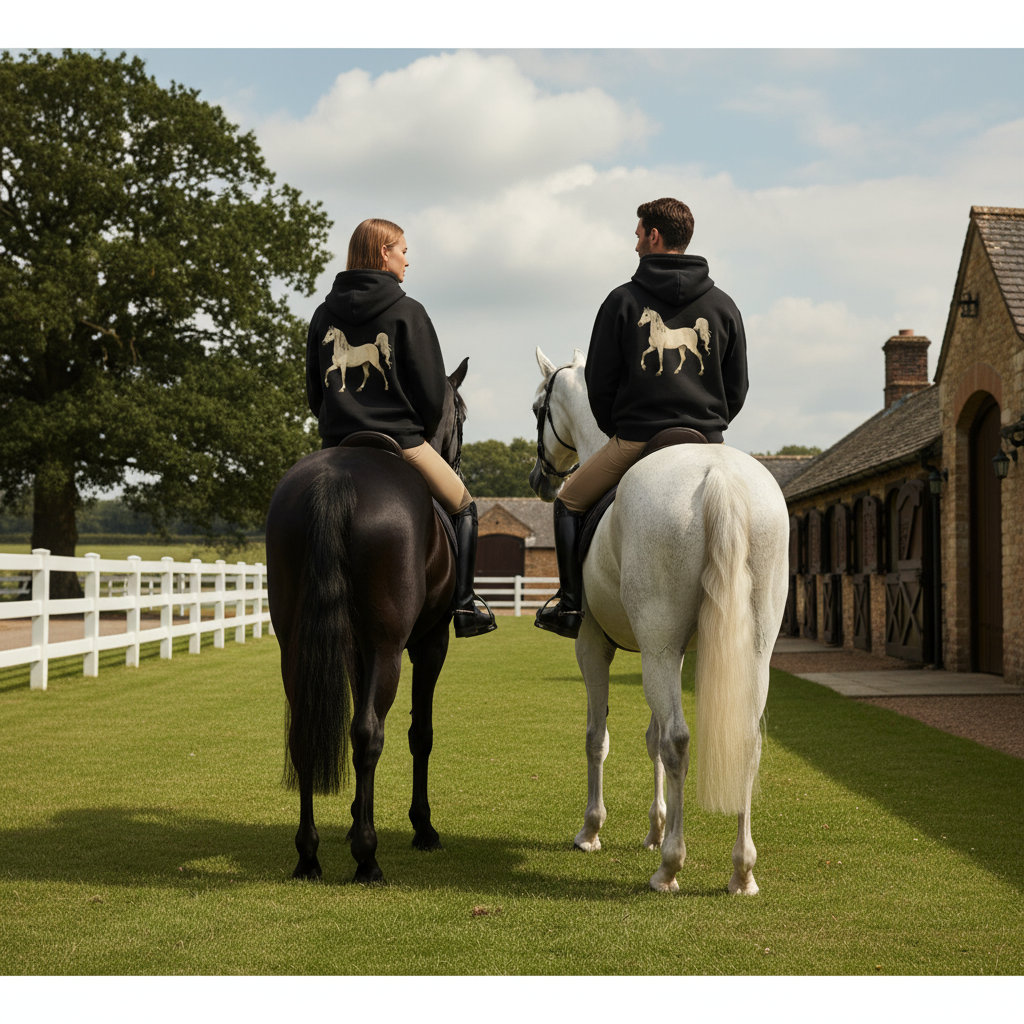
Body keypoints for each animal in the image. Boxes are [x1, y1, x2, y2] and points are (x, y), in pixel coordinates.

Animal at [265, 357, 468, 884]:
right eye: (460, 413)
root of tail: (336, 478)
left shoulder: (357, 648)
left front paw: (357, 815)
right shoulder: (428, 644)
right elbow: (421, 734)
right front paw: (422, 827)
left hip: (296, 643)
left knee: (305, 733)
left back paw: (308, 856)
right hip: (388, 646)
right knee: (368, 734)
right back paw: (367, 857)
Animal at [529, 348, 789, 894]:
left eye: (538, 407)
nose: (541, 482)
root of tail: (717, 475)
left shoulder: (595, 645)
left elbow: (598, 737)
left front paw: (592, 829)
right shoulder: (664, 652)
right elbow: (648, 738)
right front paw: (654, 827)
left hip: (658, 647)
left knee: (677, 741)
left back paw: (670, 866)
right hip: (740, 649)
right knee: (746, 740)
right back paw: (741, 871)